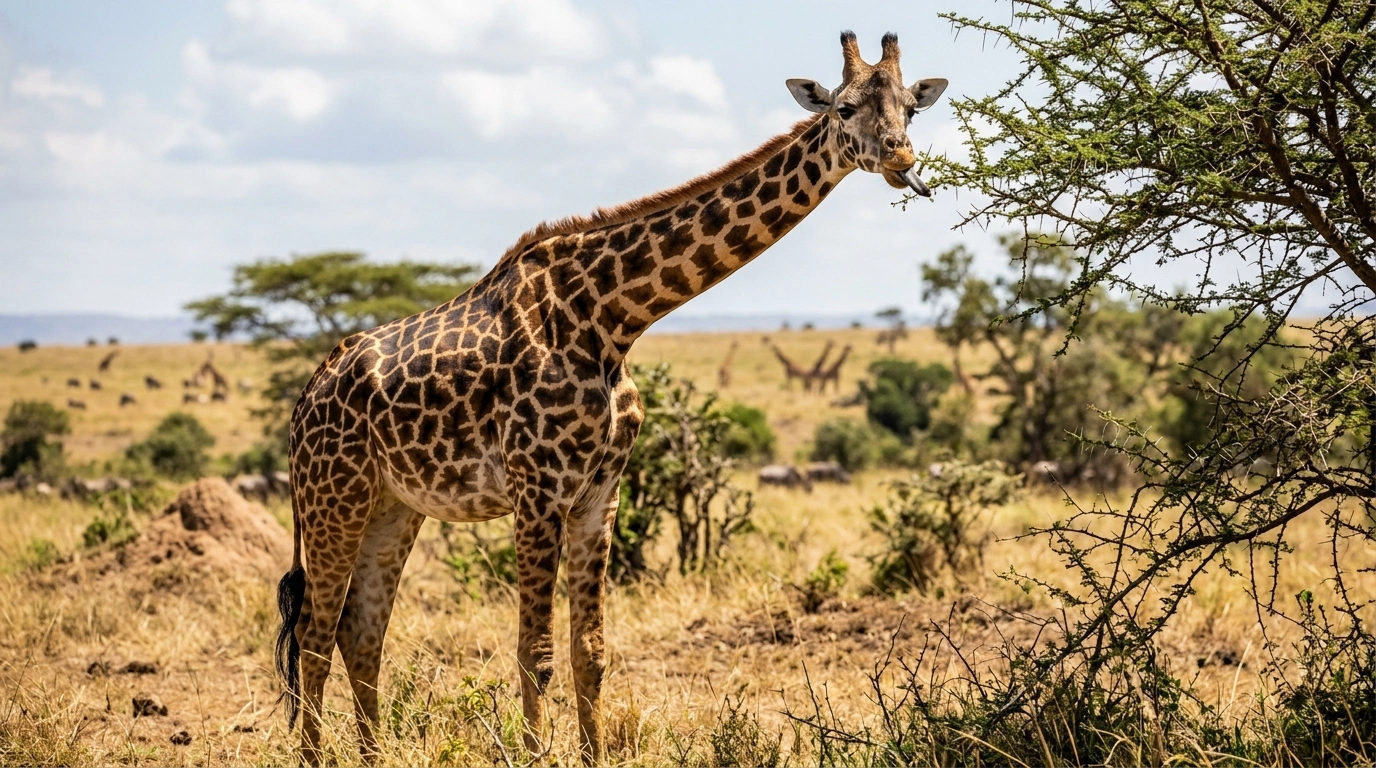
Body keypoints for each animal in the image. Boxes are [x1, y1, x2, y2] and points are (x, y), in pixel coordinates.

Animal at [275, 31, 946, 765]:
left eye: (912, 108)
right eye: (845, 107)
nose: (901, 157)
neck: (610, 319)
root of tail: (303, 401)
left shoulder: (600, 492)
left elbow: (589, 652)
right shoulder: (537, 489)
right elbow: (534, 653)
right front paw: (532, 754)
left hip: (392, 506)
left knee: (360, 632)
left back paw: (373, 754)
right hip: (332, 497)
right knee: (313, 633)